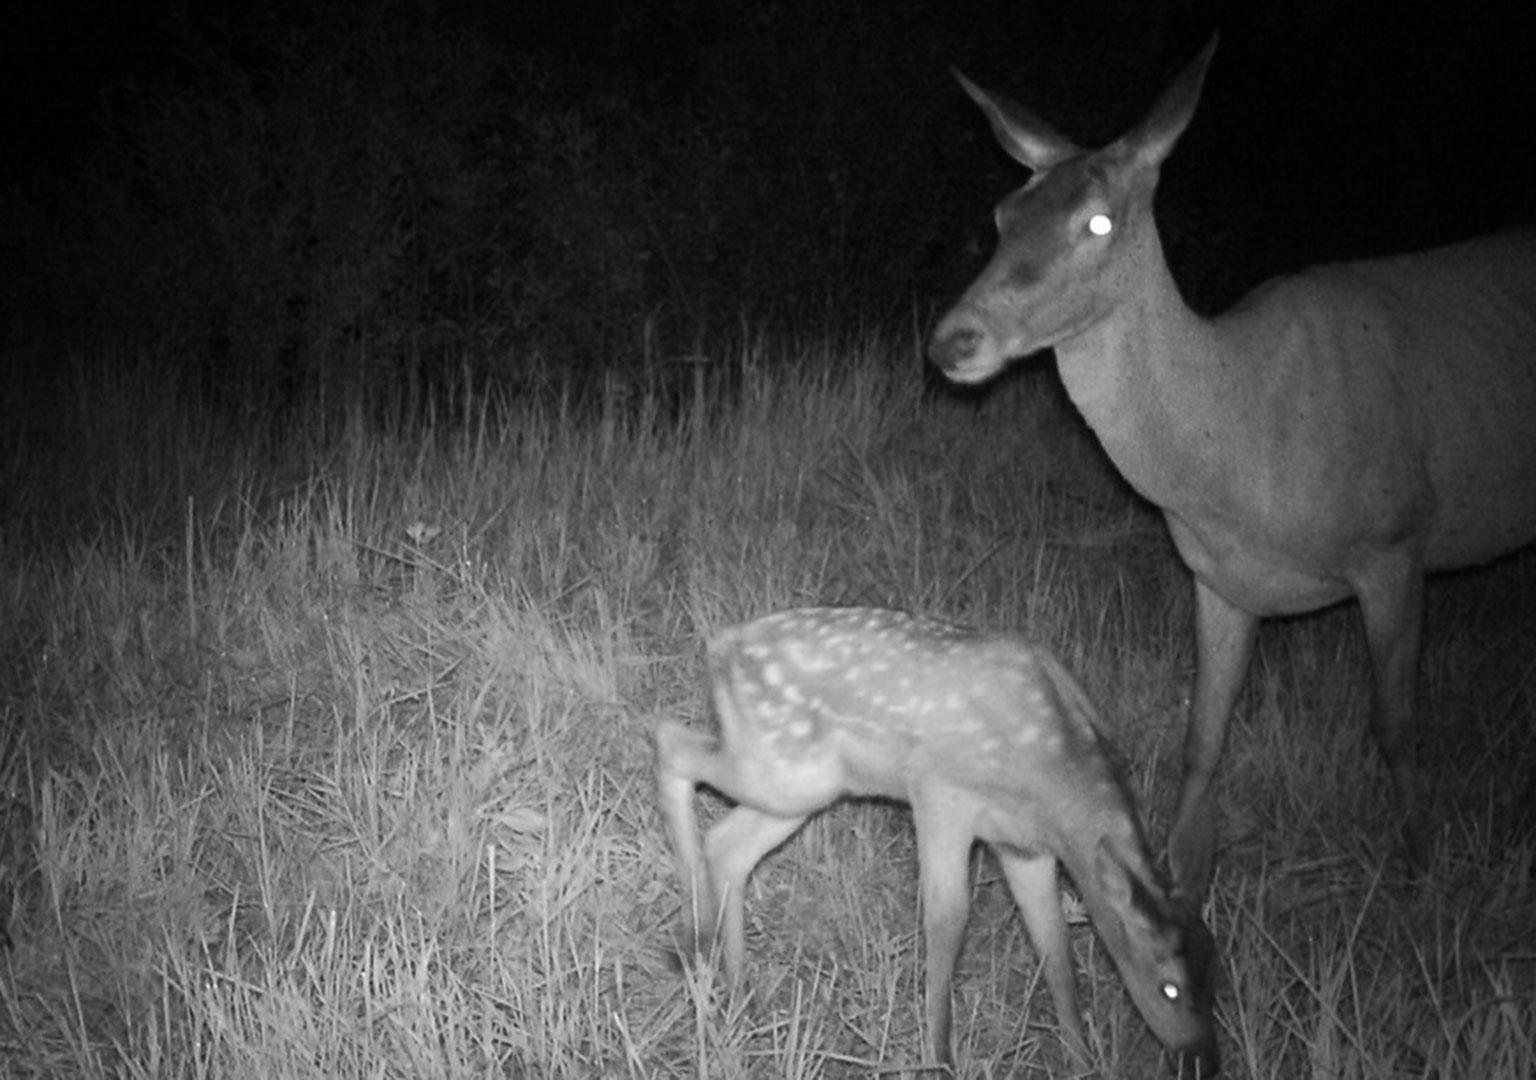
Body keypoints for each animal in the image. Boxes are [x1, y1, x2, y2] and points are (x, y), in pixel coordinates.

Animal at [654, 611, 1216, 1075]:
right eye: (1169, 987)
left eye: (1215, 978)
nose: (1199, 1059)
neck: (1053, 780)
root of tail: (721, 647)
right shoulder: (940, 793)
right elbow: (949, 919)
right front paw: (939, 1056)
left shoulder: (1025, 847)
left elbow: (1054, 945)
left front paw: (1079, 1061)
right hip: (783, 769)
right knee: (671, 744)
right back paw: (692, 948)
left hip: (801, 785)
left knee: (727, 845)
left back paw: (735, 988)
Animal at [921, 38, 1536, 897]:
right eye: (1005, 215)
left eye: (1099, 221)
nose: (953, 340)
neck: (1246, 455)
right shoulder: (1218, 578)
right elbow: (1202, 734)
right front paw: (1176, 879)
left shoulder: (1396, 541)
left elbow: (1394, 724)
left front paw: (1421, 872)